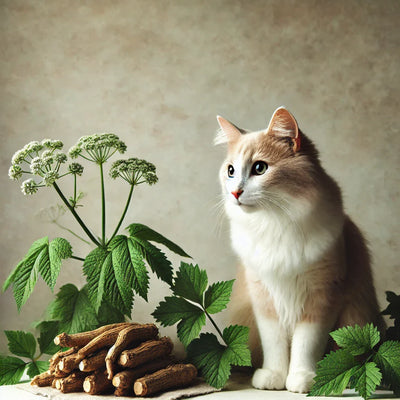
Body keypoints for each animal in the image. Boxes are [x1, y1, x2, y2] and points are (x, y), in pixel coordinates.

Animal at [216, 107, 384, 394]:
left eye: (259, 168)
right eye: (230, 171)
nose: (235, 192)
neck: (274, 222)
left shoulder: (323, 295)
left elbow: (307, 344)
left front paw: (303, 379)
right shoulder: (264, 297)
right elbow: (274, 345)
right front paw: (274, 376)